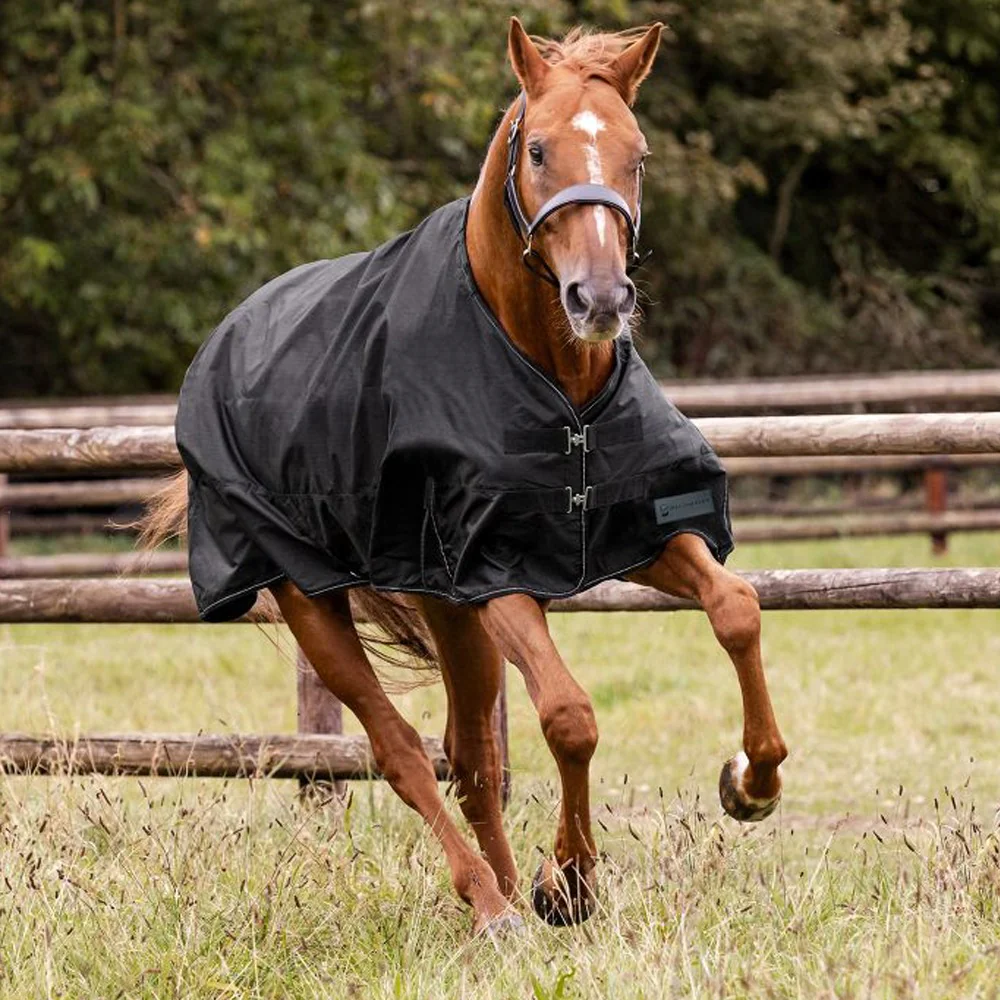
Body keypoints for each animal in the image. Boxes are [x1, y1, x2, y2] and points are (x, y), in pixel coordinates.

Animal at [141, 19, 787, 937]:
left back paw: (513, 894)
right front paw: (574, 880)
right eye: (540, 149)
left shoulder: (641, 532)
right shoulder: (496, 574)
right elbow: (570, 716)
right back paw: (490, 901)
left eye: (638, 155)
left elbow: (736, 608)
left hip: (448, 613)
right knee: (403, 752)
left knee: (471, 754)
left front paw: (750, 784)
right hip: (317, 603)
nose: (600, 299)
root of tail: (224, 340)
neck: (557, 384)